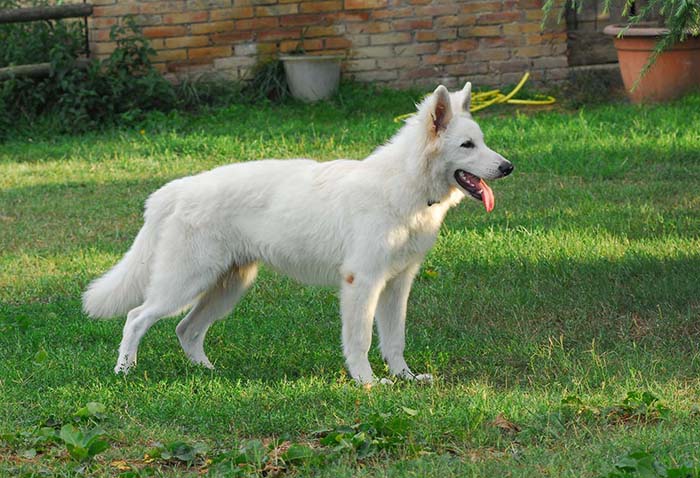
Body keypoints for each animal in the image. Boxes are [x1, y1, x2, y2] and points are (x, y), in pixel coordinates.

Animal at [85, 81, 516, 380]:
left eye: (482, 142)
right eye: (467, 145)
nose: (508, 167)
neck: (404, 184)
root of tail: (175, 190)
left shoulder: (396, 285)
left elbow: (395, 340)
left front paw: (405, 378)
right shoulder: (362, 283)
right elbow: (360, 340)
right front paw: (368, 383)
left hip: (227, 286)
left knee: (186, 329)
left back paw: (207, 373)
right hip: (185, 283)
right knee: (137, 317)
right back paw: (124, 372)